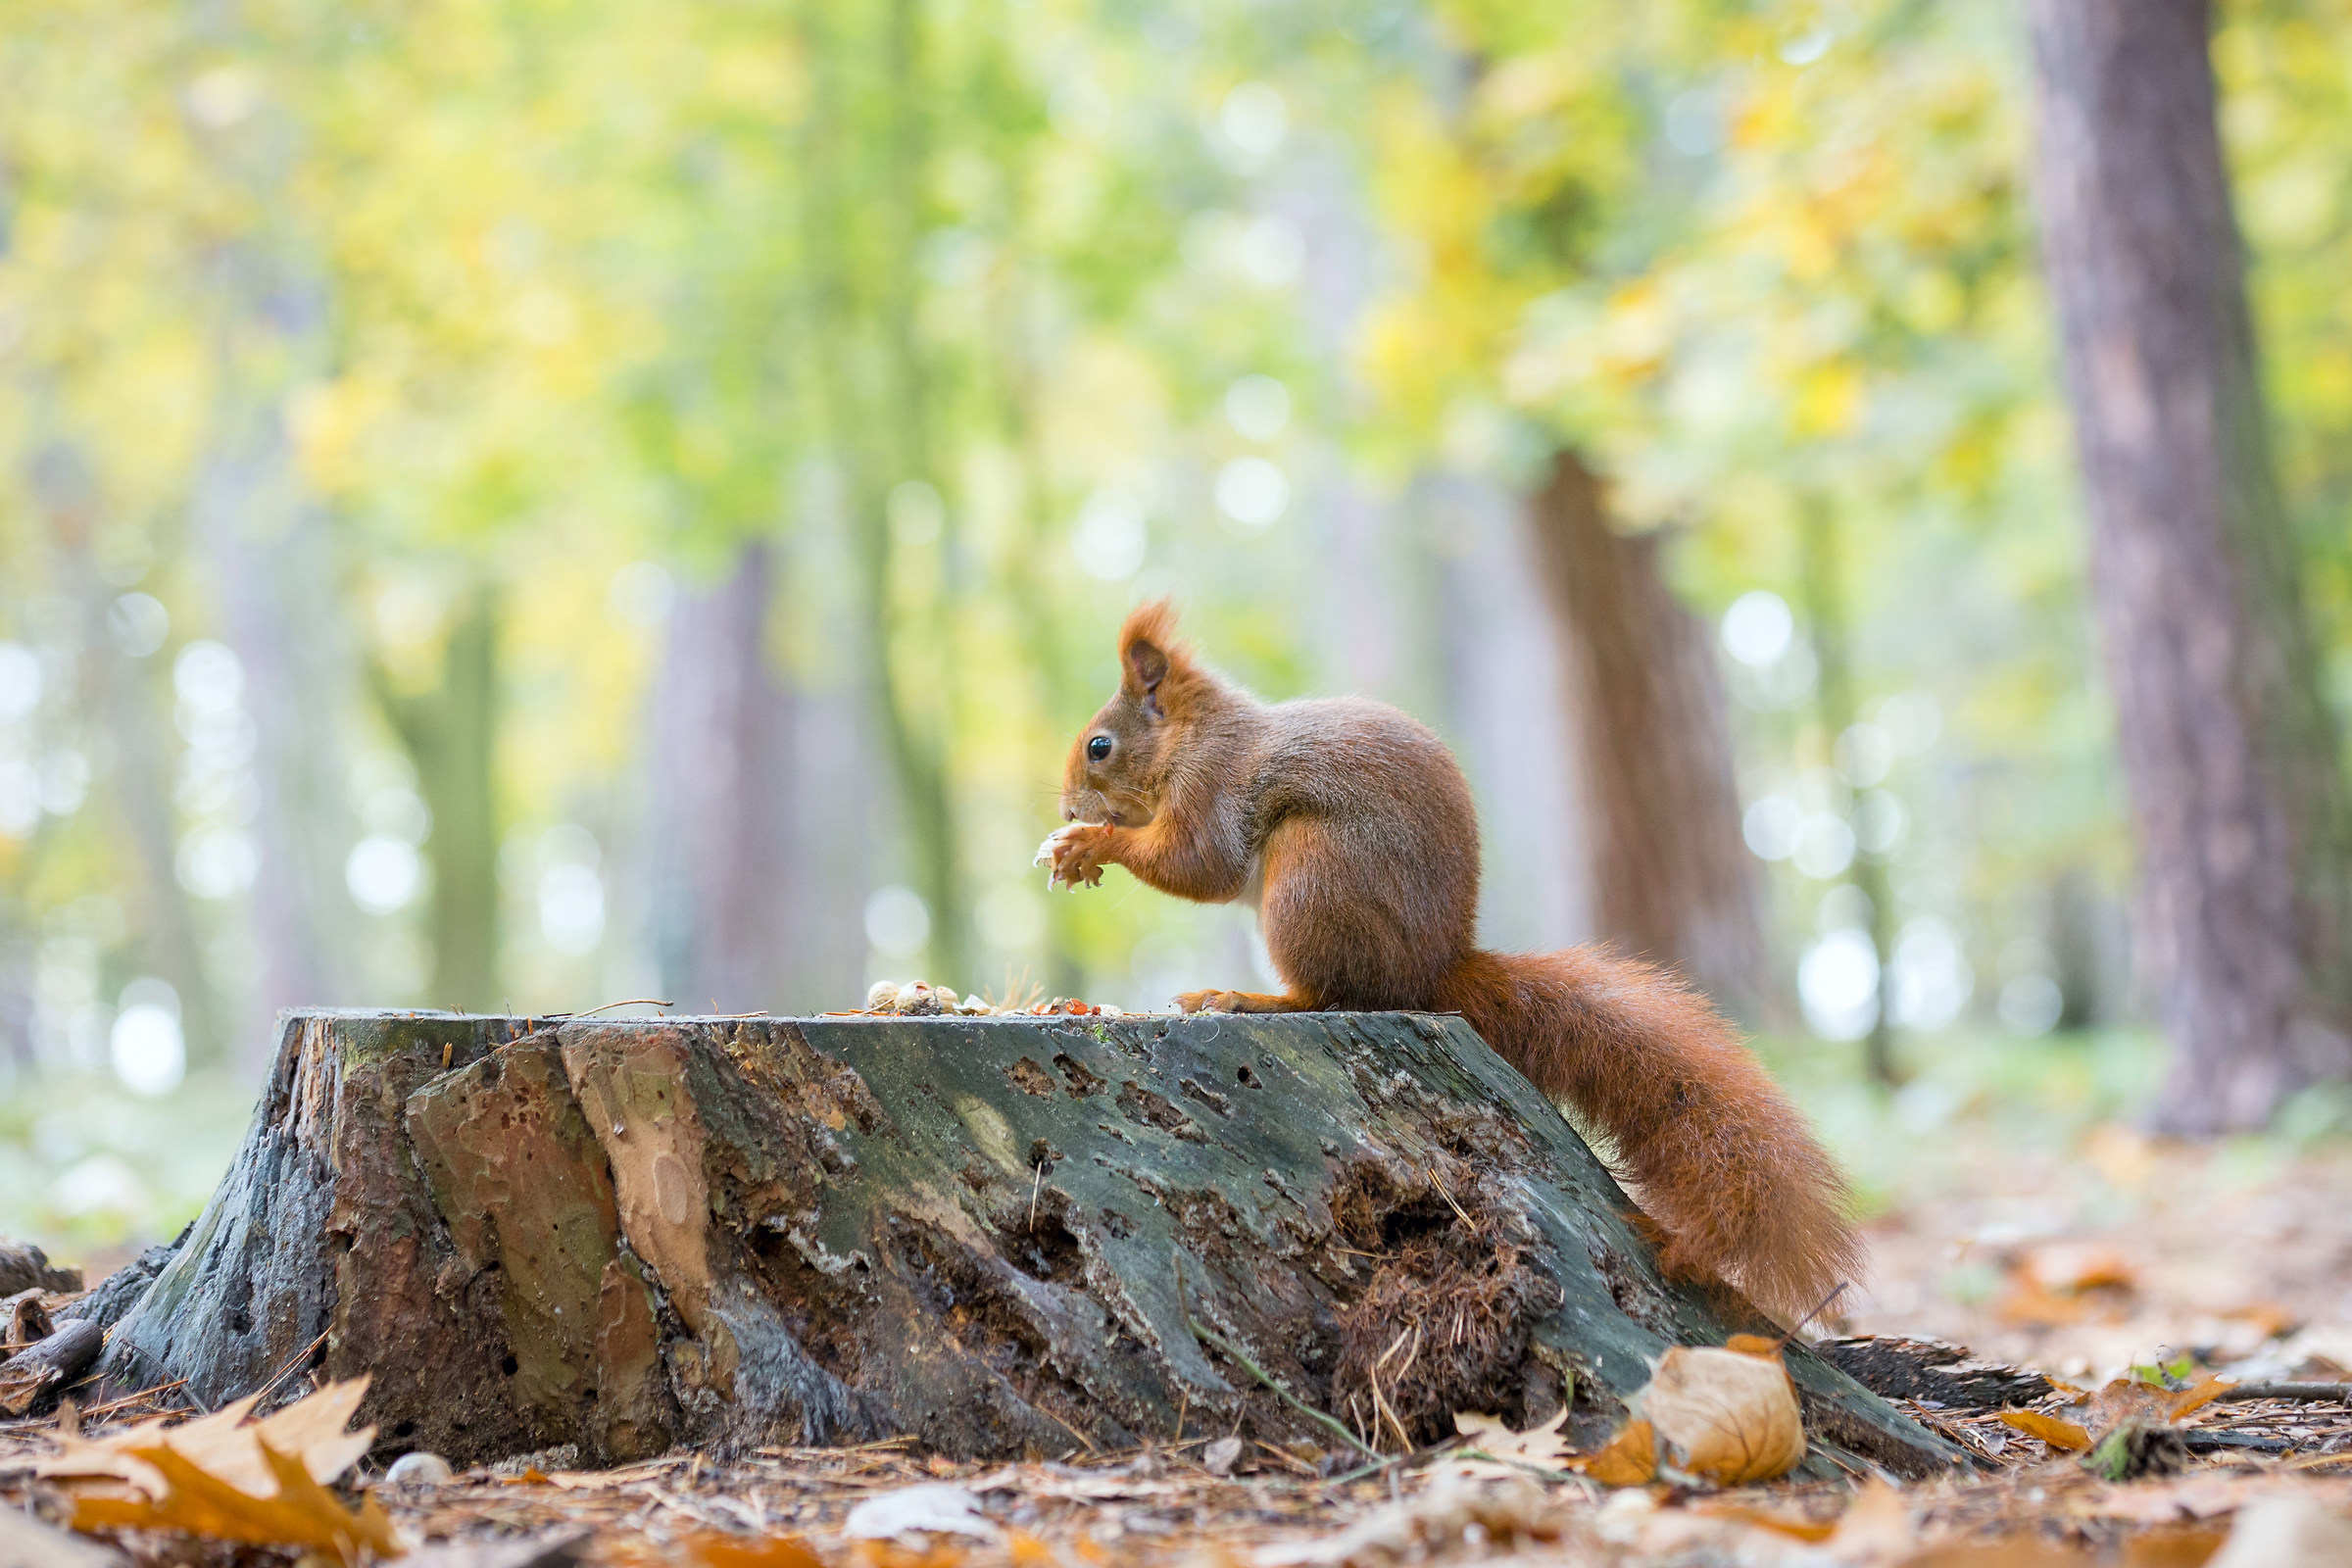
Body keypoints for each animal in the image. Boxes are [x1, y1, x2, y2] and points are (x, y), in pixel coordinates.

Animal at [1035, 600, 1861, 1322]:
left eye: (1099, 746)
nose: (1068, 808)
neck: (1193, 735)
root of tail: (1434, 969)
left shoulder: (1214, 784)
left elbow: (1199, 864)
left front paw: (1090, 845)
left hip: (1311, 877)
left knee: (1332, 995)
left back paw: (1251, 999)